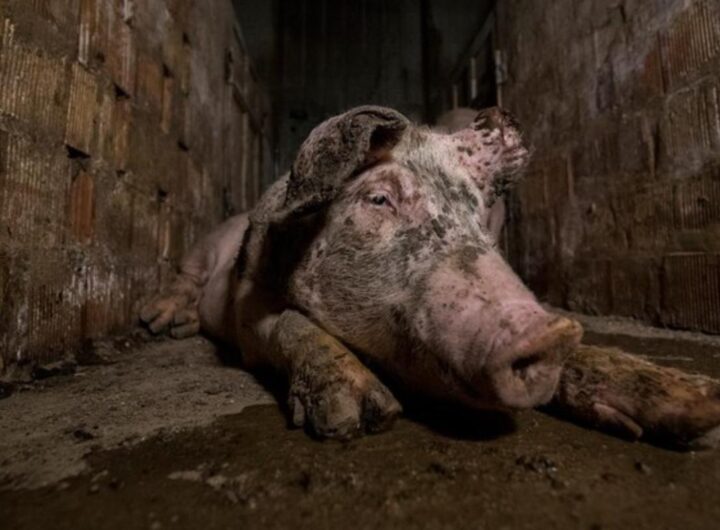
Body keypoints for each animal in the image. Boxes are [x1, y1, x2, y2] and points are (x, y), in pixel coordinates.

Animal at [141, 106, 720, 448]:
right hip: (204, 247)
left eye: (474, 212)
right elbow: (290, 326)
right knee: (185, 278)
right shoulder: (247, 310)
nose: (547, 331)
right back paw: (159, 324)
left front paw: (701, 406)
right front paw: (357, 418)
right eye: (378, 199)